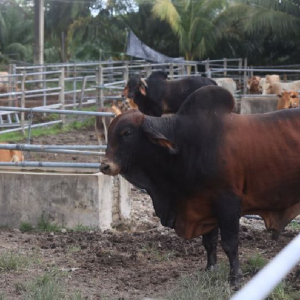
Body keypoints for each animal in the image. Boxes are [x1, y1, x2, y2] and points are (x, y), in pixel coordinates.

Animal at [100, 85, 300, 284]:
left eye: (127, 133)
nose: (105, 166)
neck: (185, 142)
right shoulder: (204, 204)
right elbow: (209, 242)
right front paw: (210, 269)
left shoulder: (228, 202)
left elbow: (230, 243)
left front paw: (235, 277)